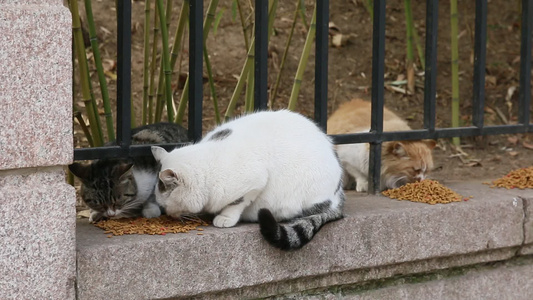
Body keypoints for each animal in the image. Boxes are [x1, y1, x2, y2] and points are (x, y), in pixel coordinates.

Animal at [151, 110, 340, 251]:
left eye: (165, 205)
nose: (168, 214)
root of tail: (337, 196)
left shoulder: (255, 181)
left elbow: (237, 202)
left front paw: (225, 217)